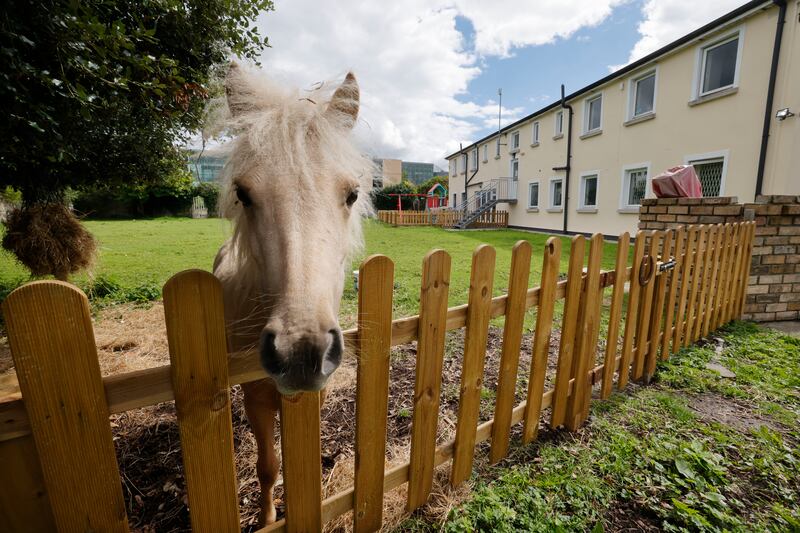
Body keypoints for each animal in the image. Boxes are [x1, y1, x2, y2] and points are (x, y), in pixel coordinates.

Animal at [212, 63, 373, 524]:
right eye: (243, 194)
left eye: (352, 194)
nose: (301, 351)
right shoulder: (256, 396)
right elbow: (268, 465)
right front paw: (268, 519)